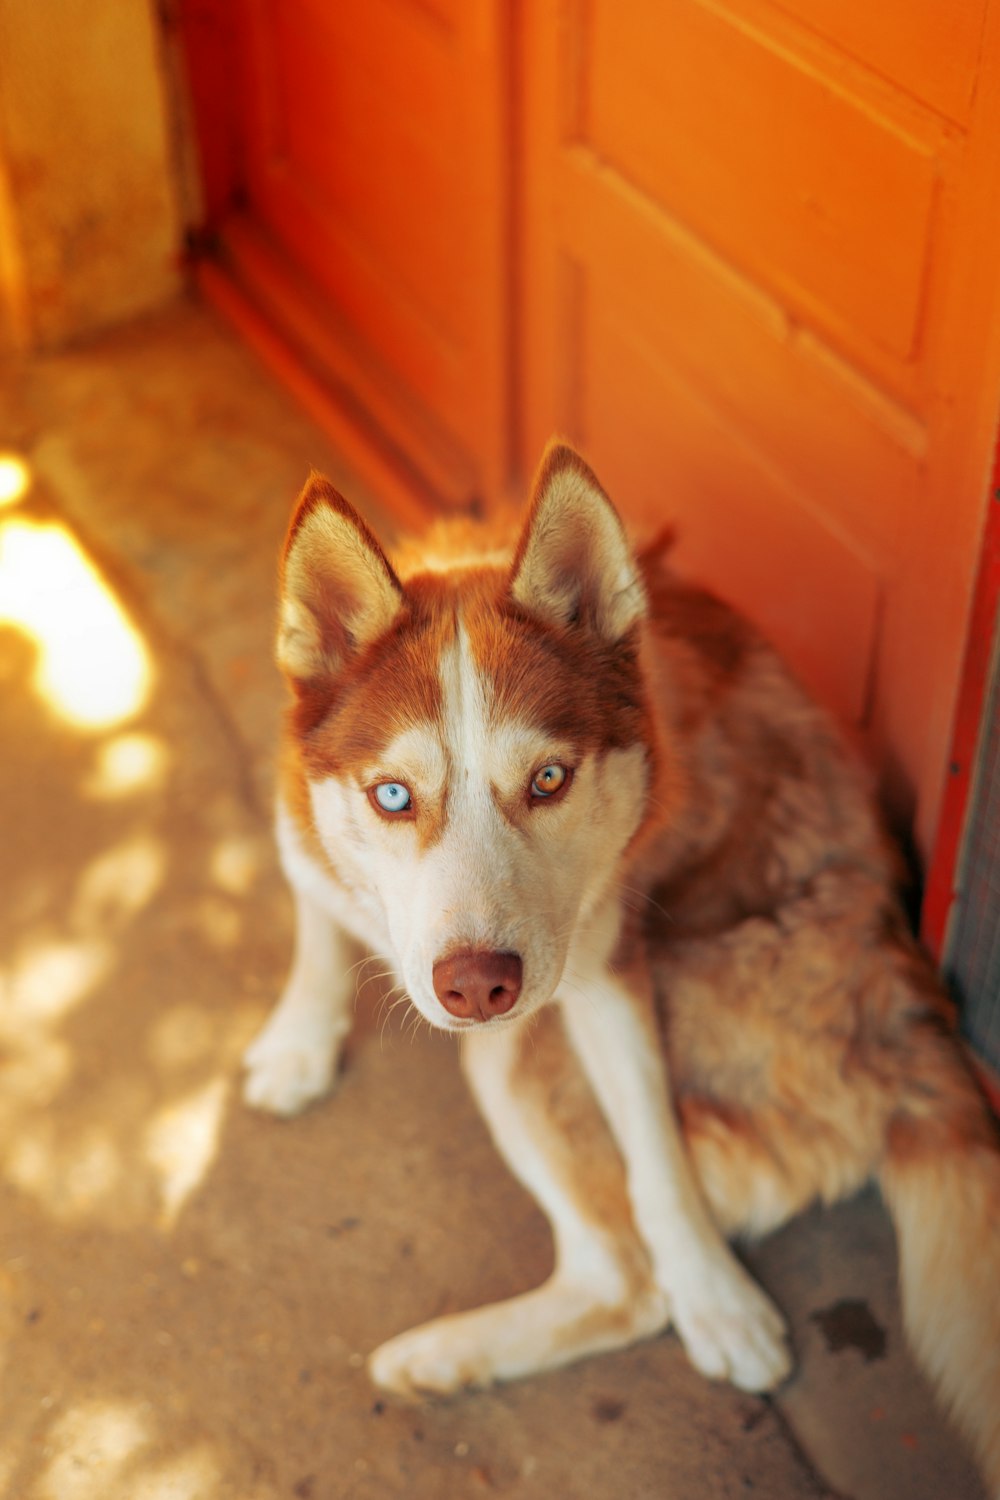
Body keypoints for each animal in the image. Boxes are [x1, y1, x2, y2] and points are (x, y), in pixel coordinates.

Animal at [242, 441, 1000, 1488]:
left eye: (550, 780)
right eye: (393, 795)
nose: (477, 984)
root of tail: (917, 1017)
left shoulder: (603, 972)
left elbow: (655, 1158)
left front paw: (712, 1290)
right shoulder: (300, 812)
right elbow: (313, 904)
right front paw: (300, 1038)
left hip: (519, 1050)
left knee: (623, 1282)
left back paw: (445, 1353)